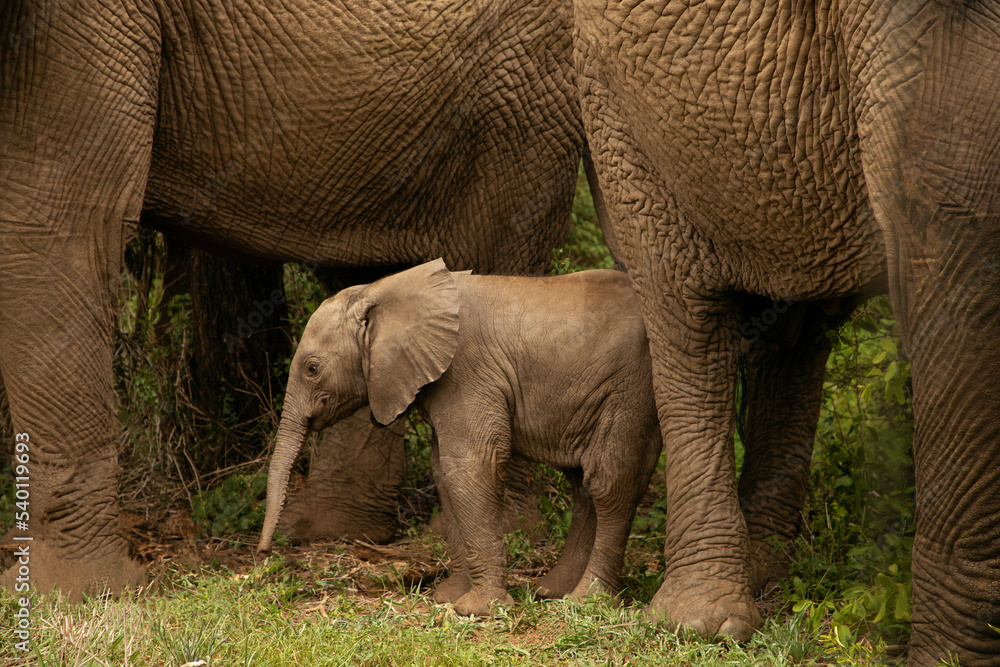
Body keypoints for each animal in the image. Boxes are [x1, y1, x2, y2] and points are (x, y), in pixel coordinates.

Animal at [0, 0, 583, 598]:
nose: (260, 558)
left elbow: (56, 225)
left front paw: (75, 592)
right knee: (362, 275)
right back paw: (329, 530)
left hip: (521, 100)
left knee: (497, 249)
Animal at [257, 259, 663, 617]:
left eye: (312, 369)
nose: (263, 557)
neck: (381, 290)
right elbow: (443, 471)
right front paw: (447, 597)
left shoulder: (466, 371)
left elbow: (470, 465)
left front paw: (476, 610)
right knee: (583, 486)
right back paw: (551, 591)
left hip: (631, 387)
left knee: (608, 483)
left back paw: (585, 601)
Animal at [575, 1, 1000, 664]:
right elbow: (962, 244)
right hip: (618, 105)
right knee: (688, 316)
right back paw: (700, 623)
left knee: (791, 332)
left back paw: (761, 579)